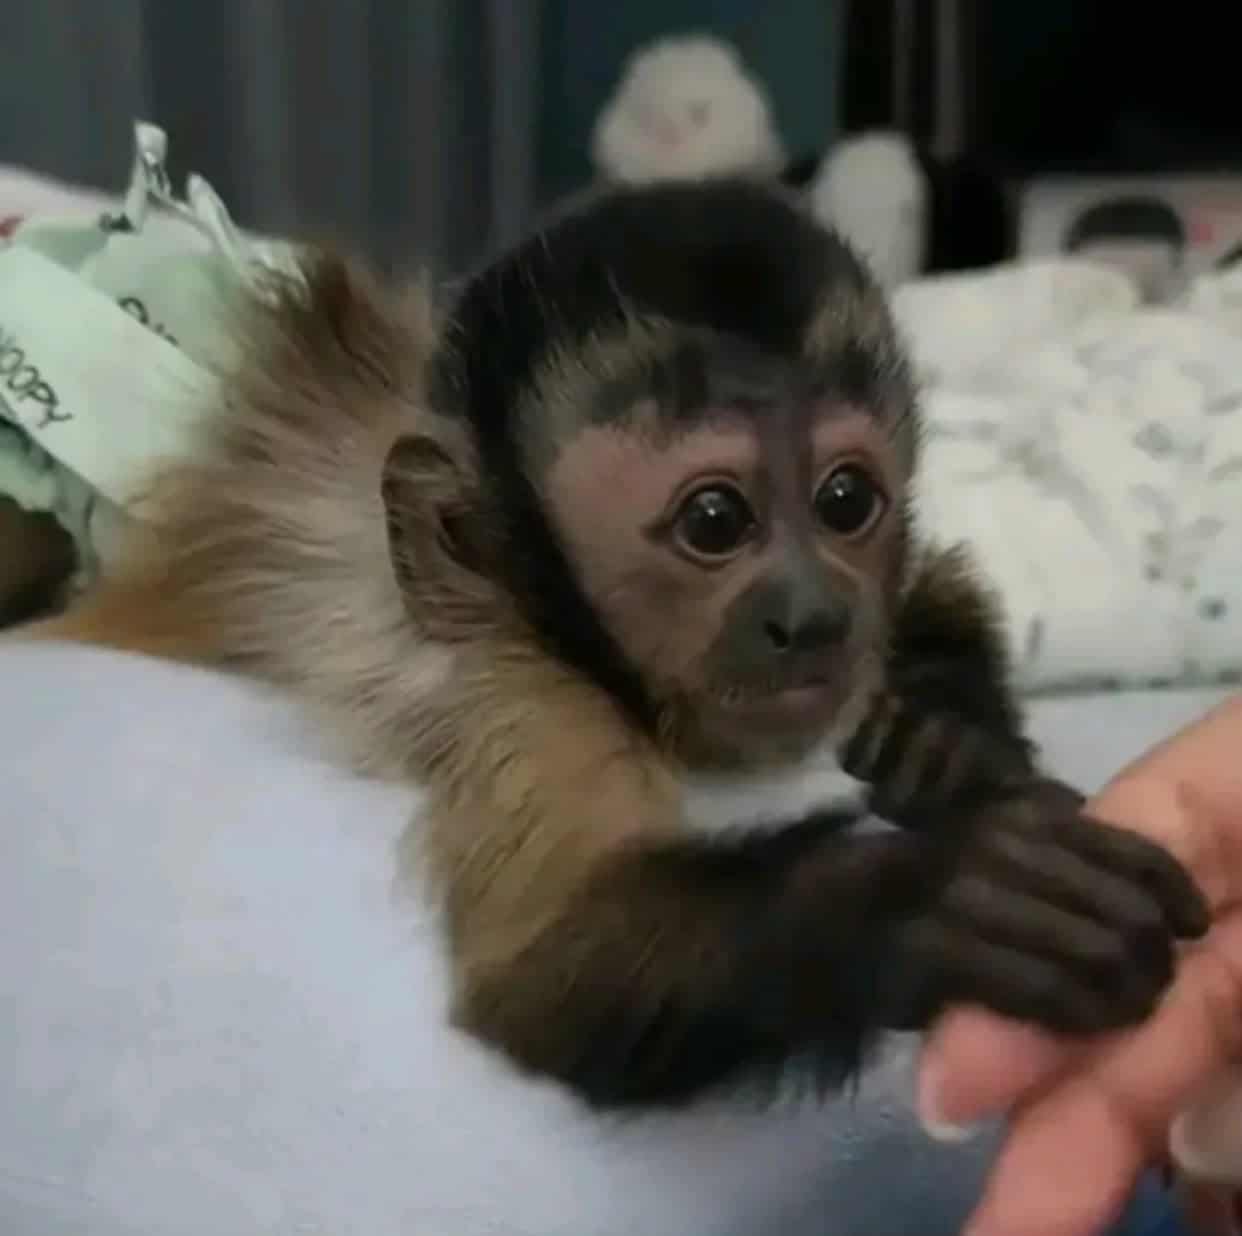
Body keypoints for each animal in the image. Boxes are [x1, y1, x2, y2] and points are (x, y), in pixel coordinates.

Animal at [22, 176, 1209, 1111]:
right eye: (716, 521)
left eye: (846, 501)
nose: (812, 616)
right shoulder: (526, 688)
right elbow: (552, 962)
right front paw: (947, 897)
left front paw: (942, 733)